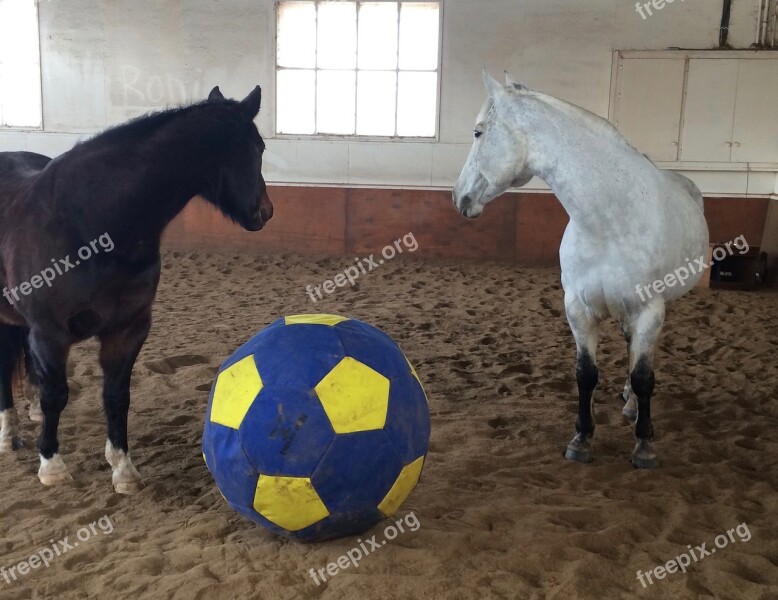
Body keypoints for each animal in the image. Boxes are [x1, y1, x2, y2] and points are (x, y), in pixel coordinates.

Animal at [0, 86, 272, 494]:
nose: (266, 211)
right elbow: (56, 395)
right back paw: (8, 435)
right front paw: (51, 465)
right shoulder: (50, 334)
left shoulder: (127, 330)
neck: (89, 222)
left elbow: (116, 397)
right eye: (258, 148)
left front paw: (123, 469)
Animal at [452, 70, 708, 468]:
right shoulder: (578, 309)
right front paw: (581, 439)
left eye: (478, 132)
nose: (458, 197)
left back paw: (634, 408)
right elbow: (586, 375)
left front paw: (644, 446)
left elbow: (644, 376)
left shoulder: (649, 309)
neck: (610, 221)